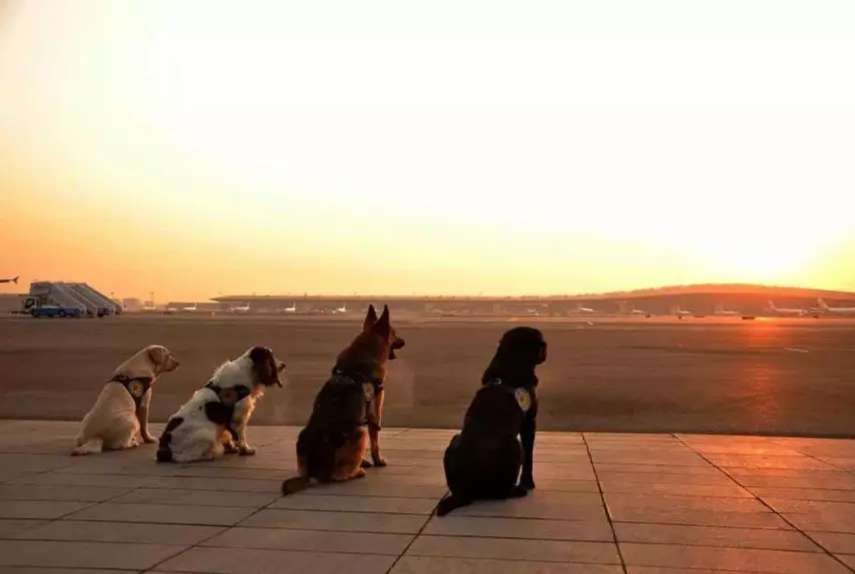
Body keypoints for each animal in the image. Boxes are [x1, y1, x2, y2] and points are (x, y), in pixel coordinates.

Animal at [156, 346, 285, 463]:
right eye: (272, 356)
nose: (284, 364)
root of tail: (163, 447)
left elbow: (228, 435)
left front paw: (232, 448)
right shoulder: (239, 418)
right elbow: (241, 437)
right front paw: (246, 450)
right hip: (206, 435)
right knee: (182, 457)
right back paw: (211, 454)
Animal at [281, 305, 405, 494]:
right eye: (395, 333)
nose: (404, 341)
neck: (366, 350)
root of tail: (313, 472)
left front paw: (363, 461)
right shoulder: (374, 410)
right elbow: (375, 439)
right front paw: (377, 461)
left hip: (302, 438)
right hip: (359, 432)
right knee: (338, 476)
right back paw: (357, 472)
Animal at [436, 327, 547, 515]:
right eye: (539, 341)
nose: (546, 346)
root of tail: (464, 492)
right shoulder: (529, 423)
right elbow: (529, 457)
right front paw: (528, 483)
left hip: (454, 439)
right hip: (515, 446)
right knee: (500, 492)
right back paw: (516, 491)